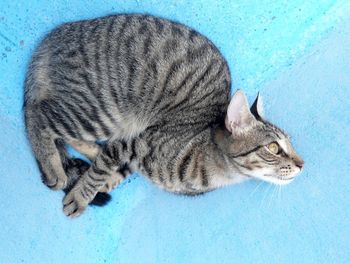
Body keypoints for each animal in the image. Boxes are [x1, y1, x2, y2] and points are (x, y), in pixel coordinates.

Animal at [24, 13, 304, 218]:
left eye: (290, 144)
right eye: (273, 147)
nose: (302, 164)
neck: (212, 174)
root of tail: (59, 33)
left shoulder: (127, 146)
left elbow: (115, 170)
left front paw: (101, 181)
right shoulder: (131, 141)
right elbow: (100, 171)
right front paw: (81, 195)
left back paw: (91, 151)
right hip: (101, 110)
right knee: (39, 116)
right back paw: (54, 168)